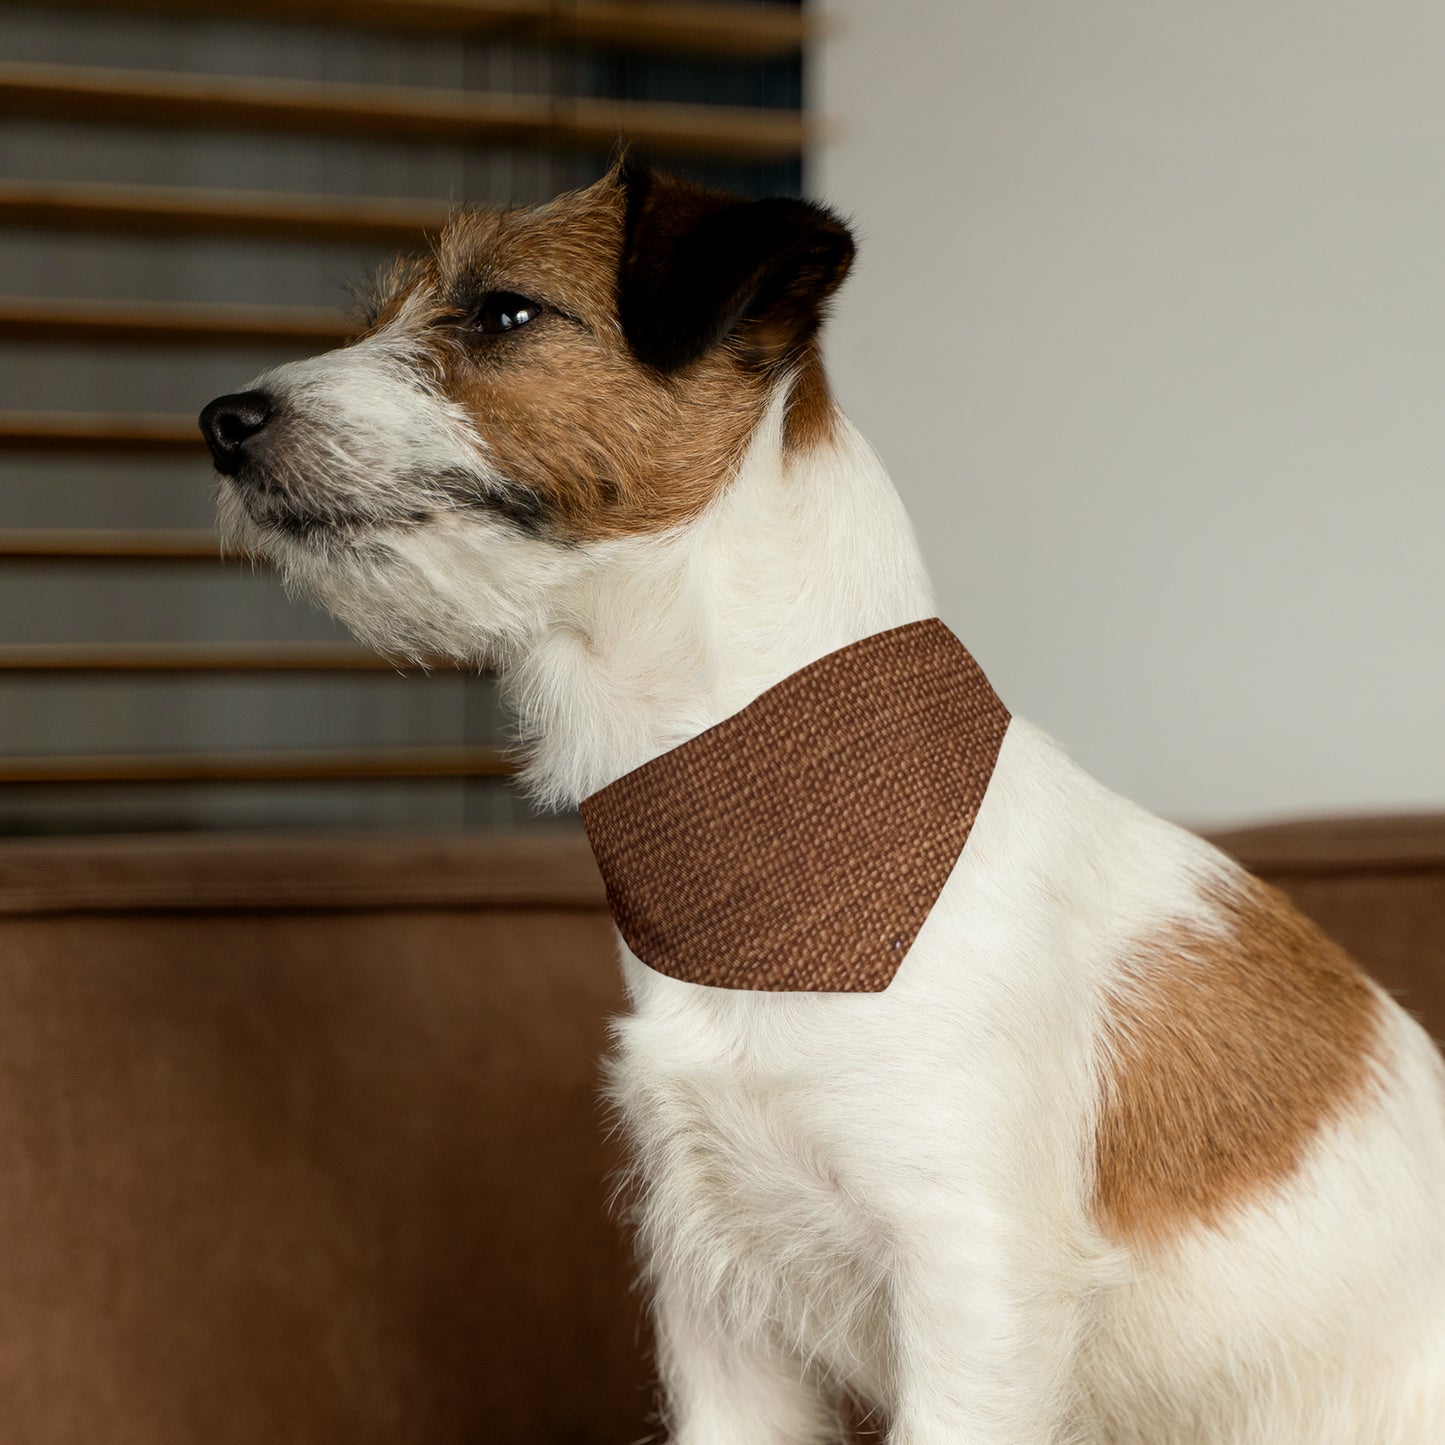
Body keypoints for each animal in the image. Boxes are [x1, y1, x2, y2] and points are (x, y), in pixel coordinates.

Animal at [195, 164, 1445, 1445]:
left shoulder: (972, 1291)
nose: (222, 421)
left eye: (502, 312)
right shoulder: (716, 1304)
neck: (779, 839)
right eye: (380, 314)